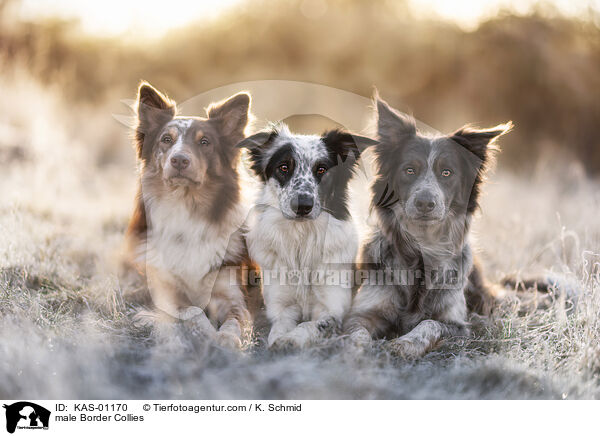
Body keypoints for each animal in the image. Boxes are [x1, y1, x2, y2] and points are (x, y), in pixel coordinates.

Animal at [238, 124, 376, 350]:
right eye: (284, 167)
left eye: (322, 169)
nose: (302, 205)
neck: (302, 238)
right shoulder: (281, 307)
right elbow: (278, 328)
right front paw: (278, 340)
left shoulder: (332, 308)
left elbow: (310, 325)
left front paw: (291, 340)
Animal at [344, 95, 508, 358]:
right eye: (409, 170)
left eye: (447, 173)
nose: (425, 203)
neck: (423, 246)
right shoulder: (362, 312)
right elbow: (357, 332)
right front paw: (356, 350)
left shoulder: (458, 325)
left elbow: (429, 324)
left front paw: (405, 344)